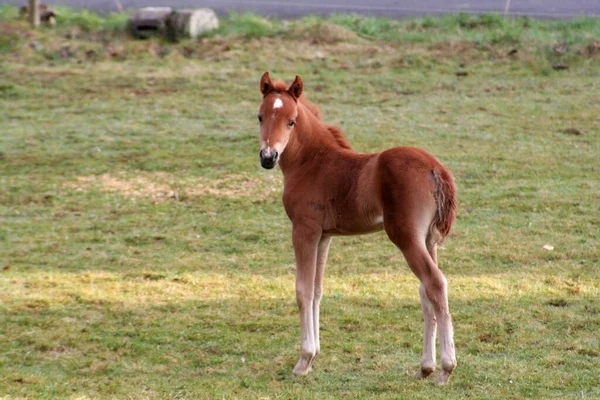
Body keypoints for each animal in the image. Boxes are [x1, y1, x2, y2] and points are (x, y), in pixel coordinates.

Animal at [255, 72, 458, 384]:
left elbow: (303, 290)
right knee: (426, 292)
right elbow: (317, 290)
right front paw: (314, 355)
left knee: (435, 283)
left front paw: (303, 360)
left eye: (291, 121)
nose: (268, 157)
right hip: (428, 240)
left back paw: (446, 369)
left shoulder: (304, 230)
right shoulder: (324, 236)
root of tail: (435, 169)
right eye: (260, 116)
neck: (311, 162)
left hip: (406, 237)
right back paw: (425, 367)